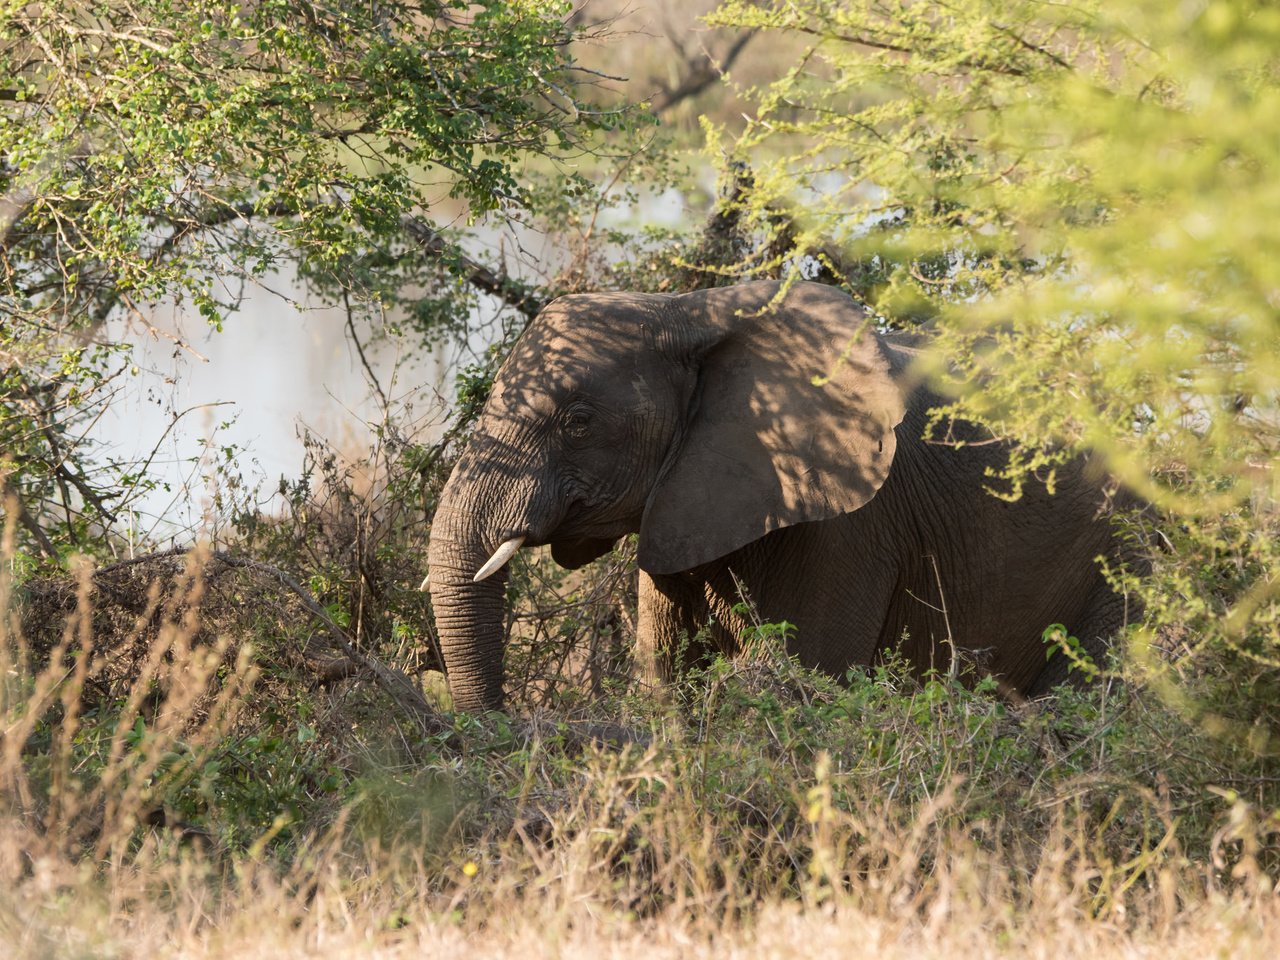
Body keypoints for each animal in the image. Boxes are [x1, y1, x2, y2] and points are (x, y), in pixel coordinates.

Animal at [424, 277, 1136, 716]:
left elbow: (799, 675)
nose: (496, 725)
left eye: (576, 422)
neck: (685, 310)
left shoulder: (849, 525)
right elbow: (665, 682)